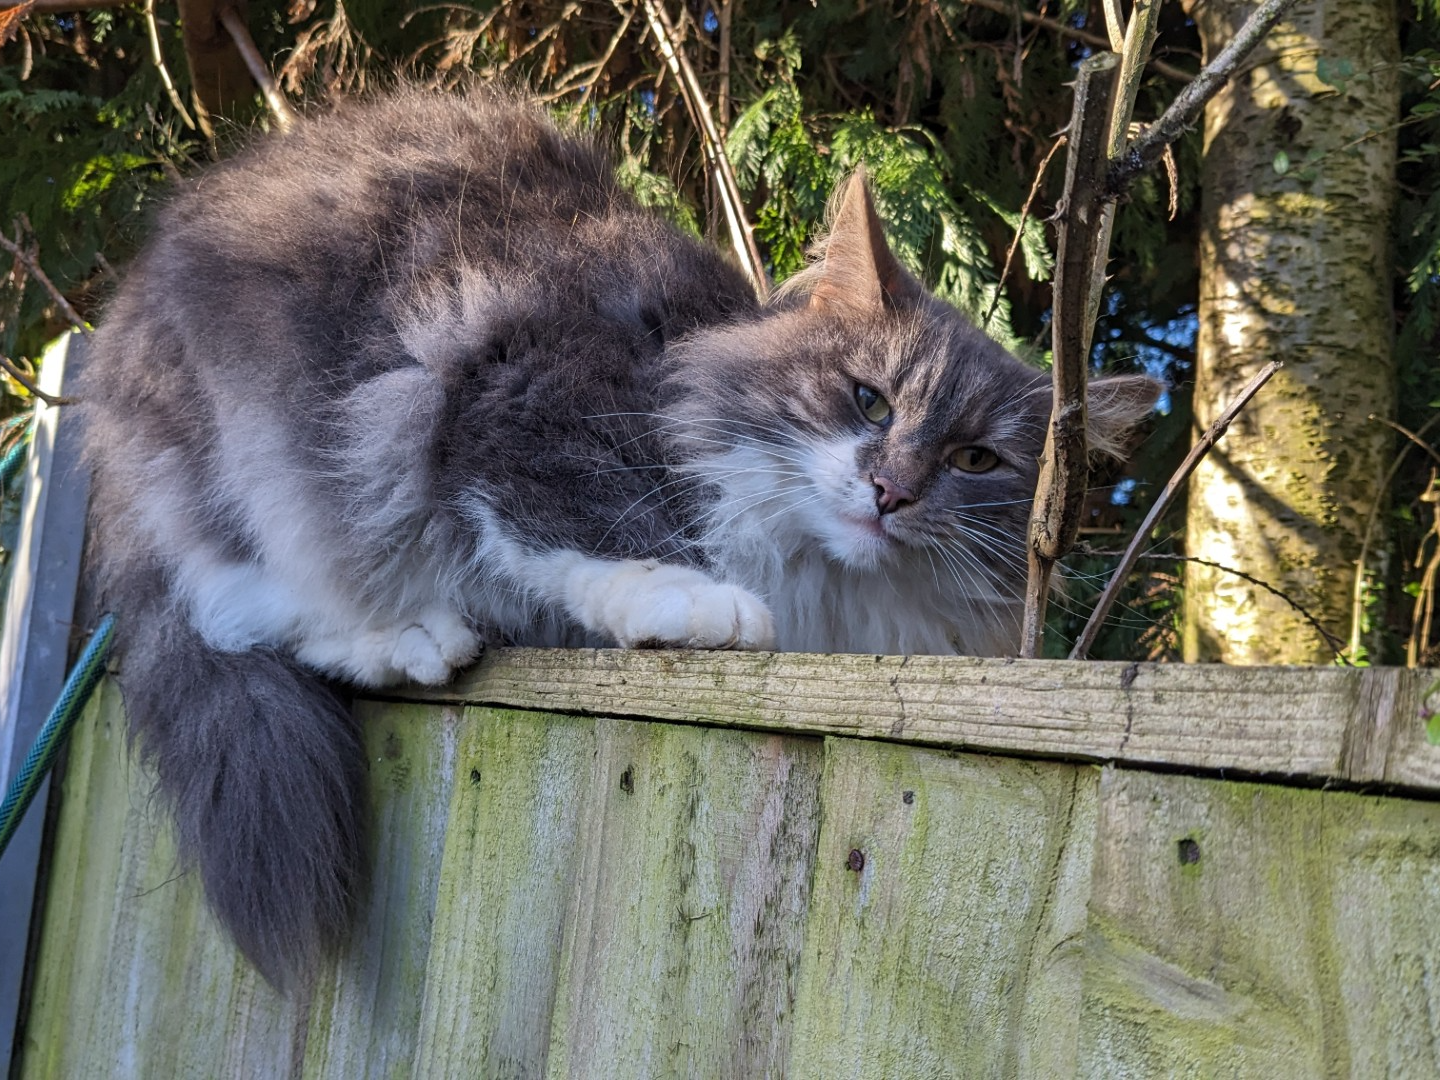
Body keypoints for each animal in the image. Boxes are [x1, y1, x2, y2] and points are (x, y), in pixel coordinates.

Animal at [78, 91, 1157, 990]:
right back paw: (414, 634)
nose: (890, 493)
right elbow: (586, 528)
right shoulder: (515, 400)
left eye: (976, 461)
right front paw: (699, 602)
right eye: (869, 400)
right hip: (260, 460)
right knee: (241, 603)